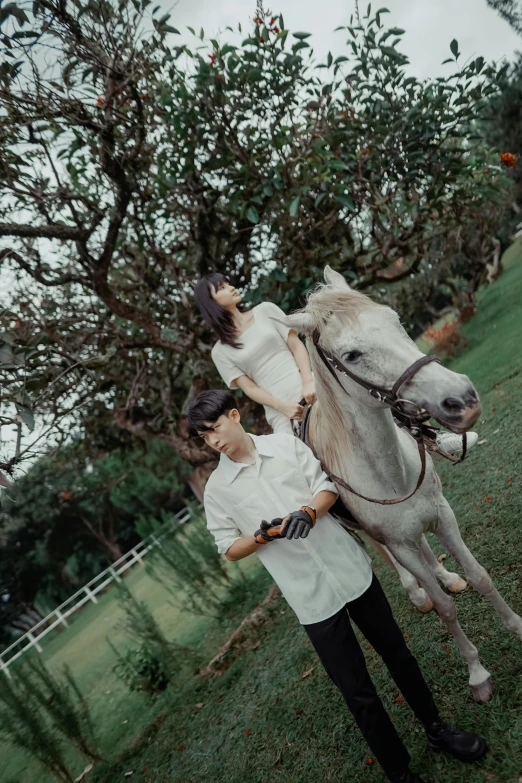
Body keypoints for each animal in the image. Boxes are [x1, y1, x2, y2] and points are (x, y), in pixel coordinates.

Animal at [274, 264, 516, 704]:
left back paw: (444, 574)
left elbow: (479, 576)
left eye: (395, 319)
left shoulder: (442, 514)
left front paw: (516, 626)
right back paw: (417, 590)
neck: (392, 473)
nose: (461, 399)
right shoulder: (398, 543)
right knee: (389, 556)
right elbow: (444, 608)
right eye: (351, 355)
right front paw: (477, 674)